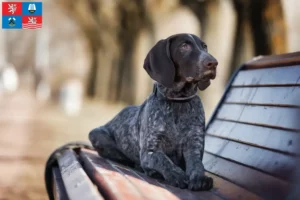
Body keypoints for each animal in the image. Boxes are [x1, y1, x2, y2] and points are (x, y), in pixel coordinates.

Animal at [89, 33, 218, 191]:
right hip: (97, 134)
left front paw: (200, 177)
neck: (178, 102)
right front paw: (176, 174)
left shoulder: (194, 146)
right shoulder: (149, 151)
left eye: (204, 47)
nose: (213, 63)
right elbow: (162, 159)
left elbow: (197, 164)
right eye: (184, 46)